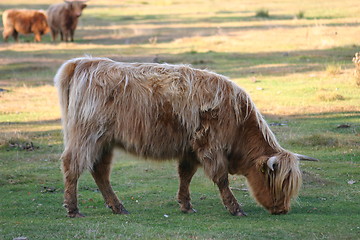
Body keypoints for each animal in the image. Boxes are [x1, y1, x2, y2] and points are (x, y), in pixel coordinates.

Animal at [53, 56, 318, 218]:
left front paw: (186, 205)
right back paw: (73, 209)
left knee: (100, 172)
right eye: (278, 183)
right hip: (87, 135)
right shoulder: (210, 146)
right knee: (72, 165)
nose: (282, 209)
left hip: (105, 141)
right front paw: (235, 208)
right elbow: (221, 178)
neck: (239, 121)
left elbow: (185, 175)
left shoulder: (190, 149)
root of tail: (84, 62)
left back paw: (118, 207)